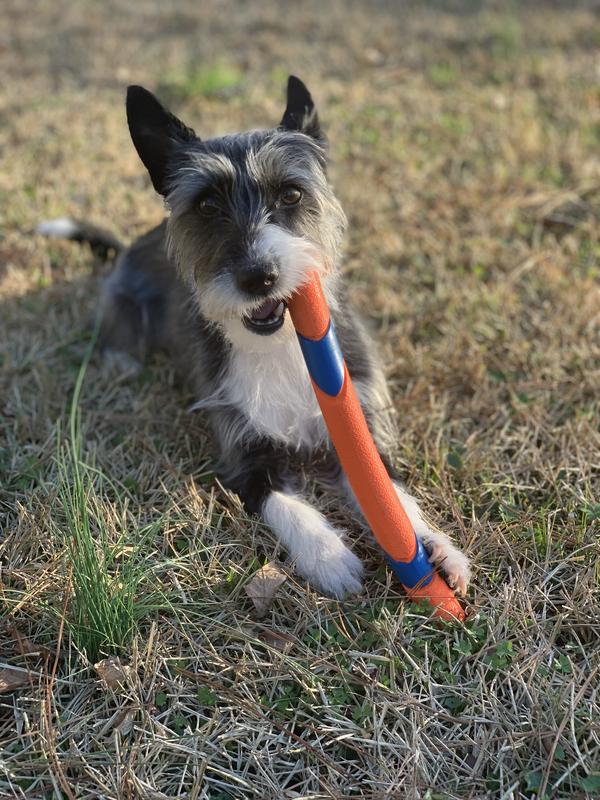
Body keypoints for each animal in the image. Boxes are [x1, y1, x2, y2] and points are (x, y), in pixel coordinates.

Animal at [41, 76, 474, 600]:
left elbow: (393, 496)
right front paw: (329, 558)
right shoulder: (244, 459)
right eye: (207, 205)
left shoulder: (363, 433)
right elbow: (285, 505)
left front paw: (437, 548)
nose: (258, 277)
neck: (281, 347)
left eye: (290, 194)